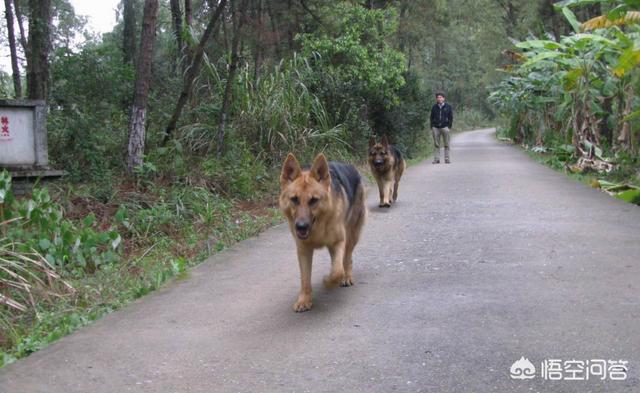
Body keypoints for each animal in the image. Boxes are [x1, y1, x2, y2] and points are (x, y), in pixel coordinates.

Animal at [278, 153, 364, 312]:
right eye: (294, 199)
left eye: (313, 200)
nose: (301, 226)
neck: (317, 226)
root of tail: (350, 166)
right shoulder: (303, 251)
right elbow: (305, 279)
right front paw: (304, 300)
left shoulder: (339, 242)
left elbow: (337, 271)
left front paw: (328, 282)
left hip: (351, 237)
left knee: (347, 259)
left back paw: (347, 277)